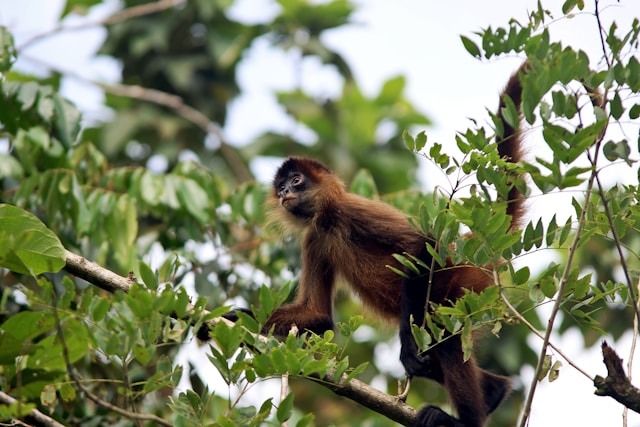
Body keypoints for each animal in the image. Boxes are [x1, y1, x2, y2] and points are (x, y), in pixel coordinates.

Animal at [222, 61, 528, 426]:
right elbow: (317, 313)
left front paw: (407, 347)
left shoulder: (350, 209)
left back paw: (464, 419)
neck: (328, 220)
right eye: (281, 186)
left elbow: (424, 244)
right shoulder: (314, 237)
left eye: (296, 181)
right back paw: (495, 391)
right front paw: (233, 318)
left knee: (446, 339)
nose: (284, 193)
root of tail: (472, 242)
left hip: (460, 282)